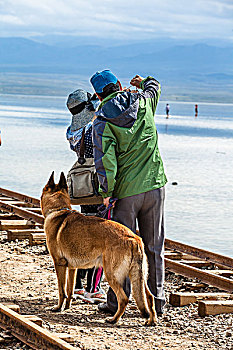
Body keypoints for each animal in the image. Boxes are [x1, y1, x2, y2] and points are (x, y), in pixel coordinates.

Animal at [40, 172, 157, 326]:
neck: (59, 210)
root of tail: (133, 238)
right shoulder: (72, 268)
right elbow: (70, 290)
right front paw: (67, 307)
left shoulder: (59, 264)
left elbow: (62, 290)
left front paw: (58, 308)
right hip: (140, 277)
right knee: (149, 297)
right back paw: (151, 320)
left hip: (111, 274)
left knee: (123, 298)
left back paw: (114, 319)